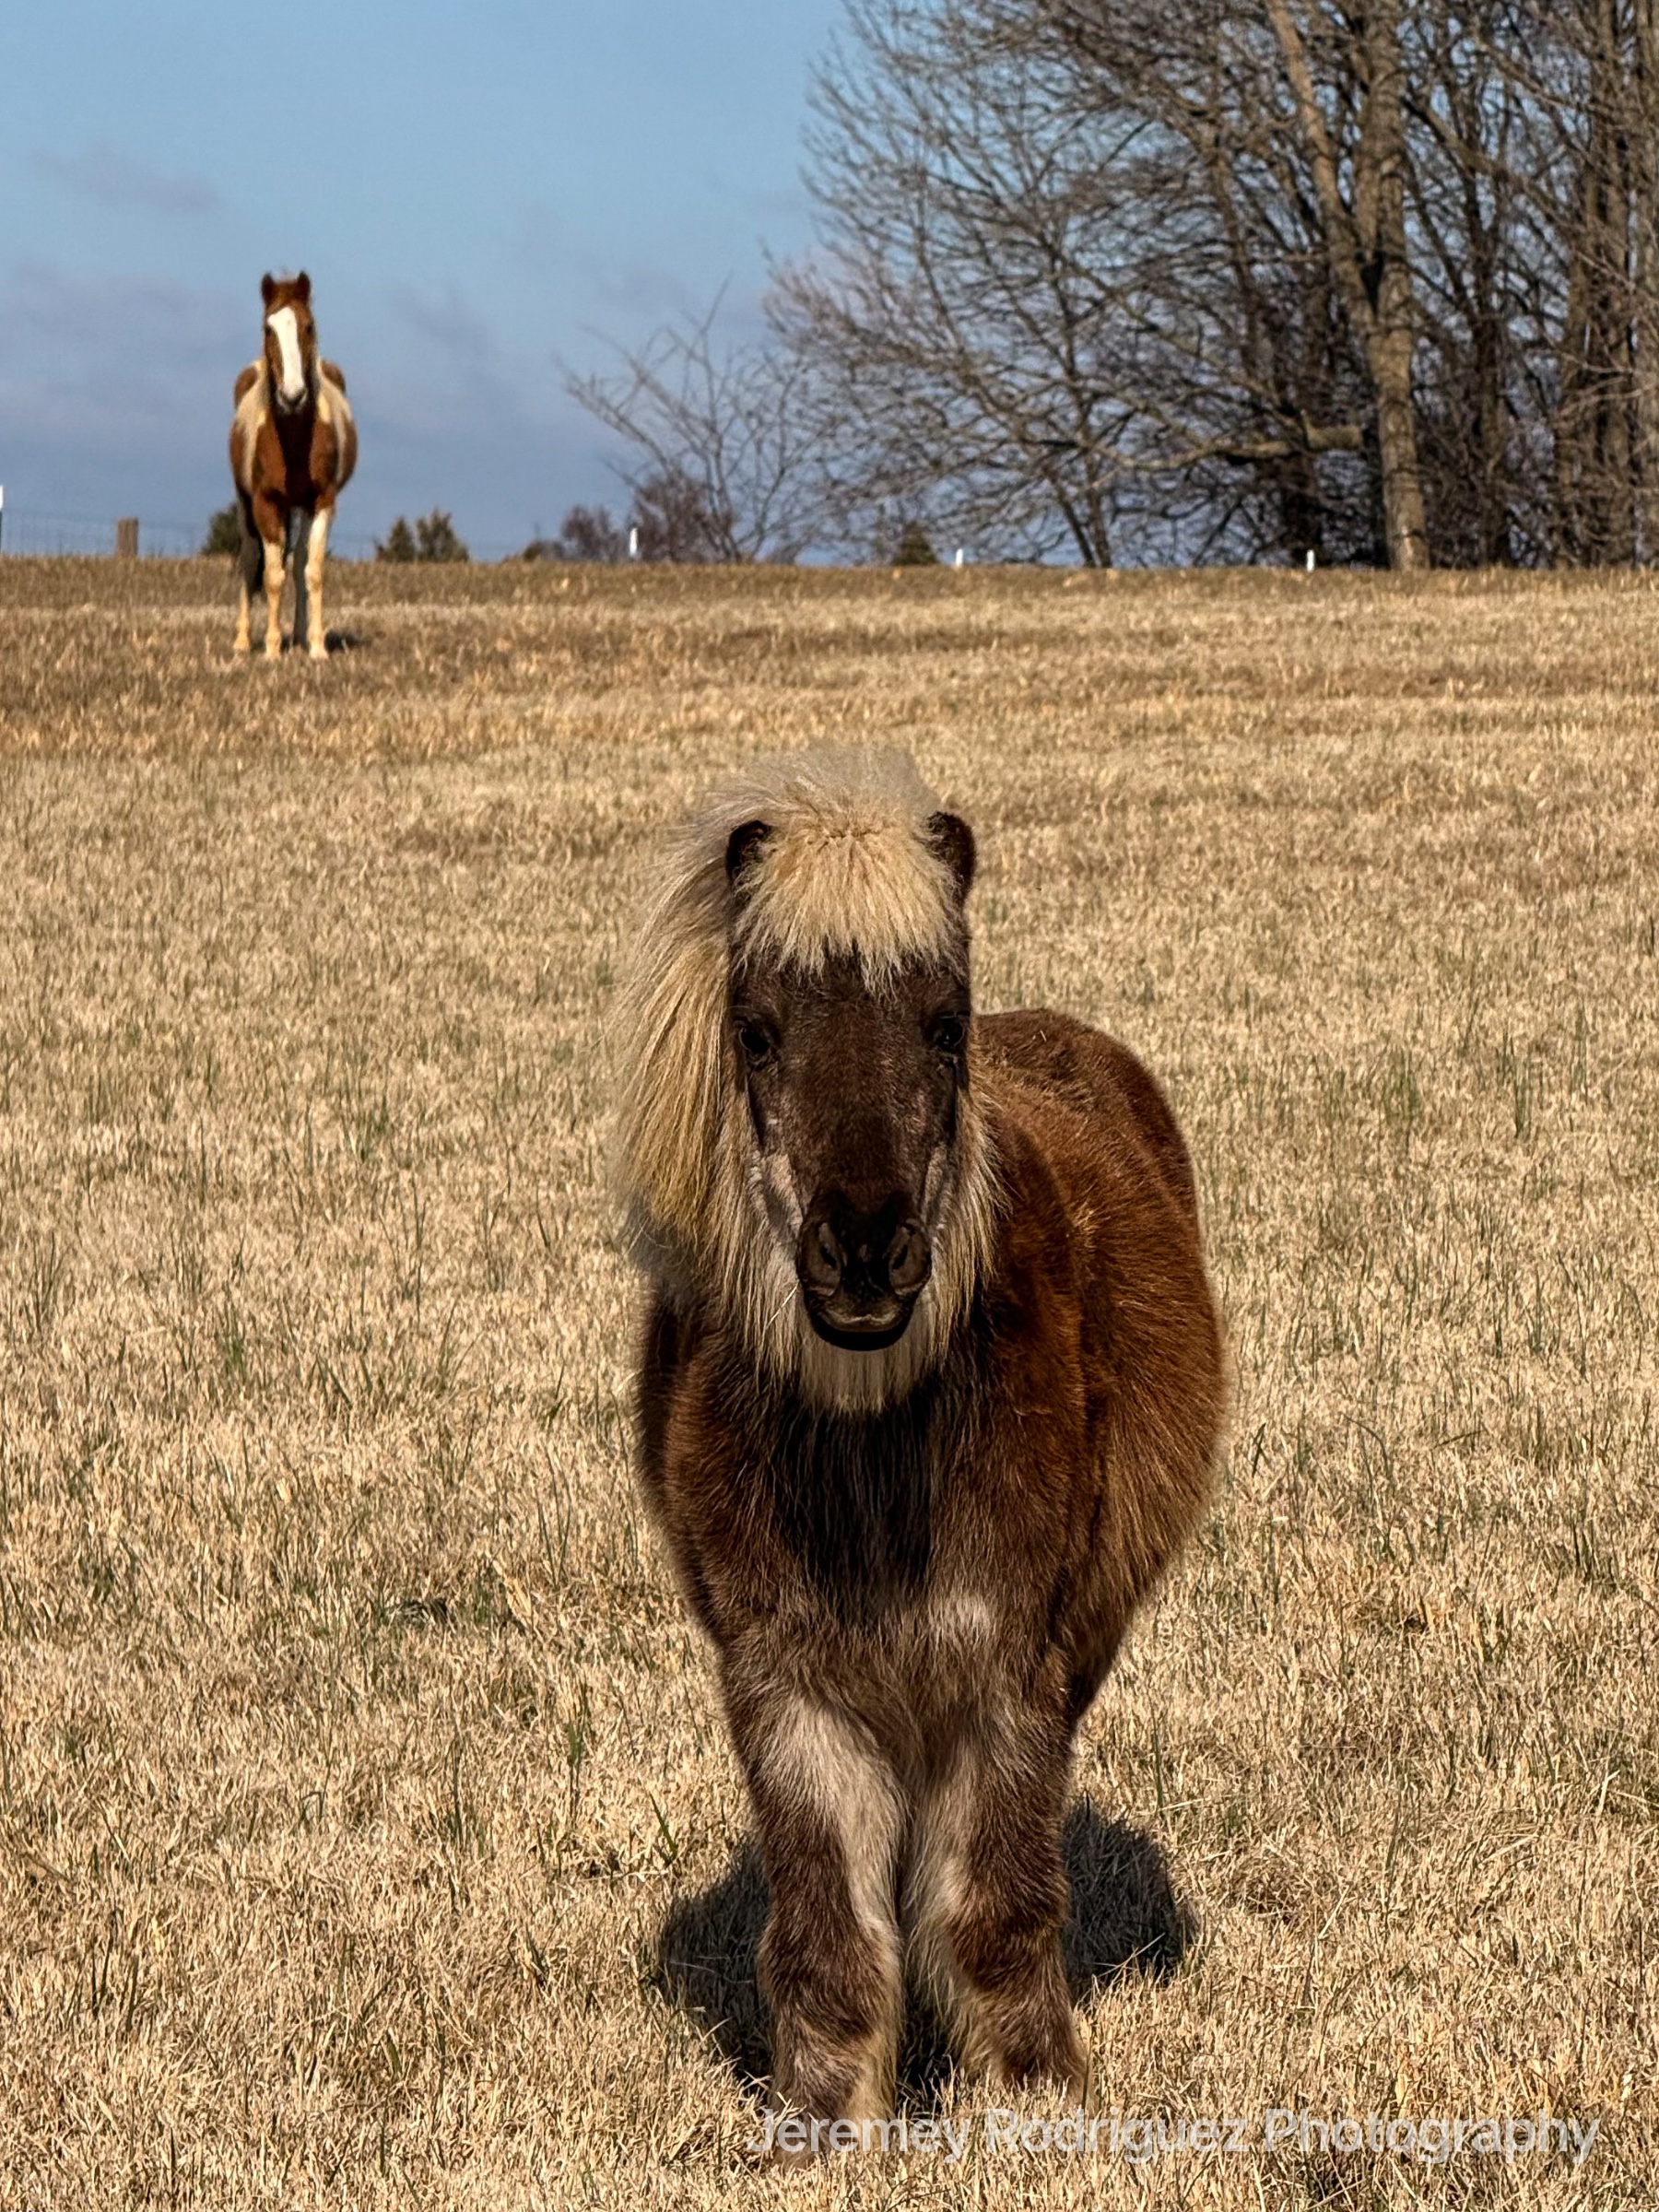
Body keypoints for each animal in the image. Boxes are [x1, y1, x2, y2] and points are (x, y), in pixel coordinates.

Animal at [228, 273, 356, 660]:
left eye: (308, 326)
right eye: (267, 328)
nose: (293, 395)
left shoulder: (322, 502)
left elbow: (311, 571)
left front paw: (316, 646)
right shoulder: (266, 503)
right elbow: (271, 575)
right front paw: (271, 648)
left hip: (299, 507)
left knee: (297, 564)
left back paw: (298, 635)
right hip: (245, 505)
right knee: (248, 559)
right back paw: (243, 641)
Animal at [615, 748, 1226, 2146]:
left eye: (943, 1023)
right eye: (758, 1029)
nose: (864, 1248)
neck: (872, 1464)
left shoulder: (1008, 1679)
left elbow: (994, 1908)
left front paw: (1034, 2110)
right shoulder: (786, 1691)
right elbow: (832, 1927)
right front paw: (824, 2127)